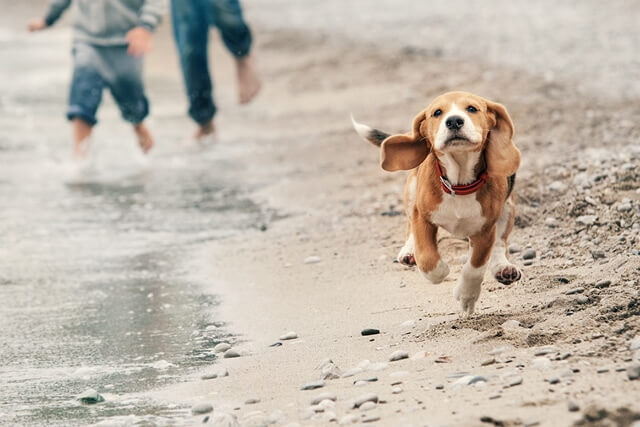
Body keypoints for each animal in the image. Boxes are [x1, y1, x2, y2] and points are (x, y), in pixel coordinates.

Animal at [352, 91, 524, 314]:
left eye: (472, 109)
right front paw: (440, 271)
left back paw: (504, 268)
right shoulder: (422, 216)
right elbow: (427, 257)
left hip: (508, 207)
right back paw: (408, 252)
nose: (454, 121)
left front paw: (467, 297)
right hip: (412, 191)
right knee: (410, 227)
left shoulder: (485, 230)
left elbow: (475, 266)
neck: (458, 184)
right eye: (437, 113)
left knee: (500, 243)